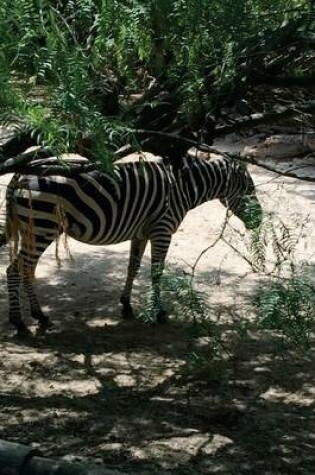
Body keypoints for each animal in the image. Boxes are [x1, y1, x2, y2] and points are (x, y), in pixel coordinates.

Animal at [0, 154, 262, 336]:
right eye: (250, 189)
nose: (259, 220)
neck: (184, 187)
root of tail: (21, 174)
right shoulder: (162, 229)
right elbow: (156, 271)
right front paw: (159, 312)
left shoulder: (142, 232)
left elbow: (133, 267)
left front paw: (126, 304)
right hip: (42, 227)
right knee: (15, 269)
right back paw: (19, 322)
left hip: (32, 230)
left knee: (26, 269)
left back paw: (40, 316)